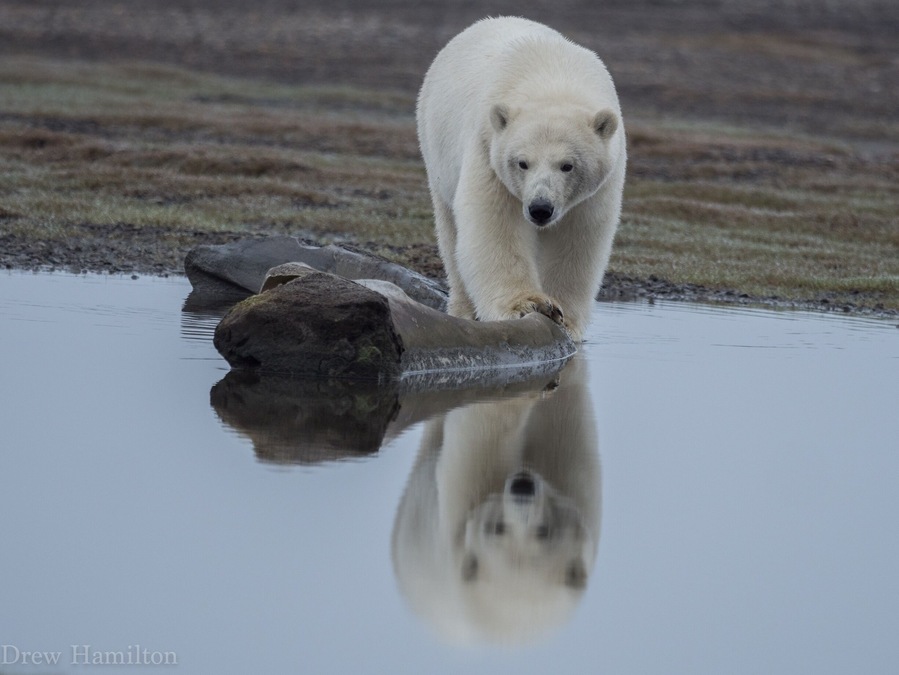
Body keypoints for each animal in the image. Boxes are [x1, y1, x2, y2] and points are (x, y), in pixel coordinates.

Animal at [417, 17, 627, 342]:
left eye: (567, 165)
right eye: (522, 163)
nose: (540, 208)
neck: (552, 77)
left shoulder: (600, 185)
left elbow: (578, 235)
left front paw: (566, 320)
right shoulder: (488, 146)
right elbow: (494, 223)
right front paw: (529, 305)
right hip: (436, 149)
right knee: (451, 233)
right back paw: (464, 309)